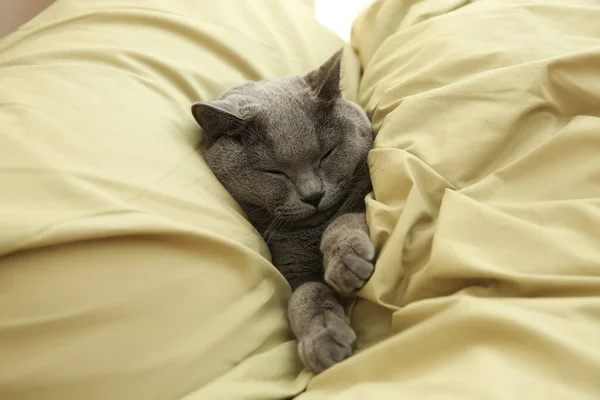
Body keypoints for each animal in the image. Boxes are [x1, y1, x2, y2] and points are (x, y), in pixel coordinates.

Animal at [191, 50, 376, 376]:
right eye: (274, 172)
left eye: (326, 154)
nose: (313, 195)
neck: (314, 229)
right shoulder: (293, 269)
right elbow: (305, 295)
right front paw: (323, 340)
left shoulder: (364, 196)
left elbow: (343, 220)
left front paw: (346, 262)